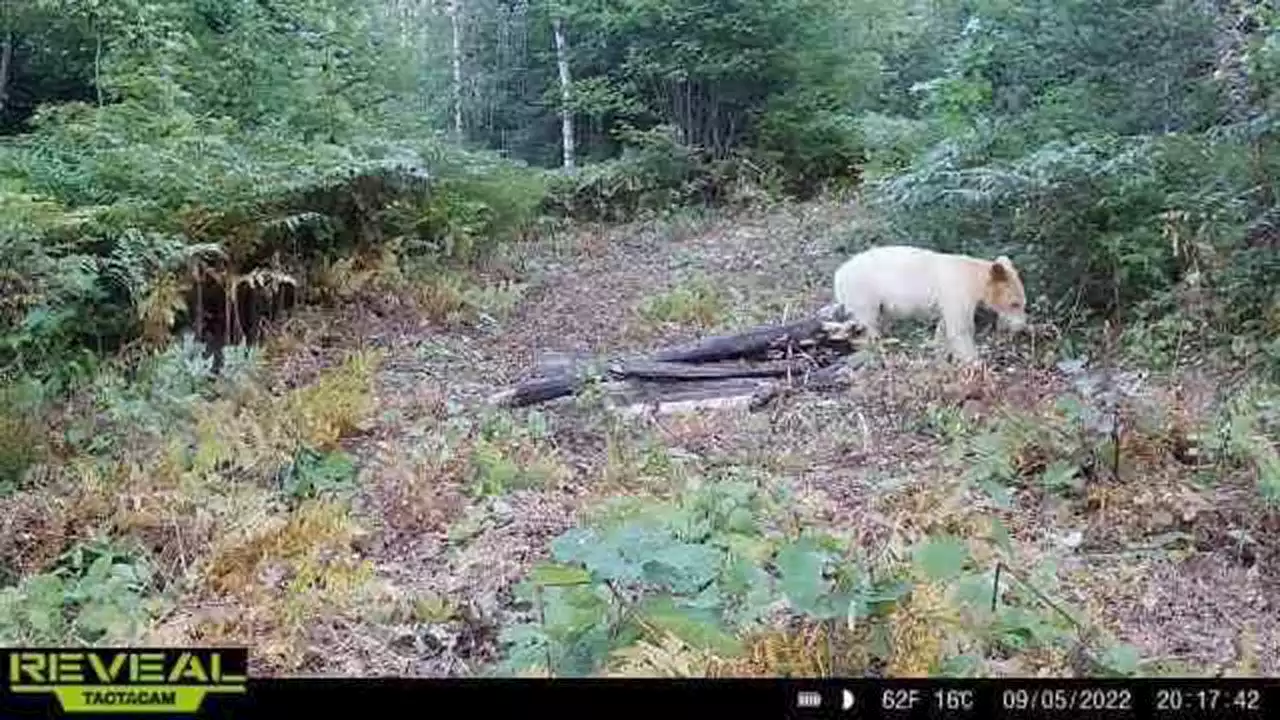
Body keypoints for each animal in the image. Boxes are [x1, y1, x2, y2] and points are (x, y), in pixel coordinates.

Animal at [829, 243, 1029, 361]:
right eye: (1015, 303)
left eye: (1023, 303)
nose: (1022, 327)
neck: (974, 278)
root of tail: (839, 274)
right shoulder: (956, 291)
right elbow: (960, 328)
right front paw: (973, 361)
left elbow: (944, 325)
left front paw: (939, 349)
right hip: (863, 292)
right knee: (869, 323)